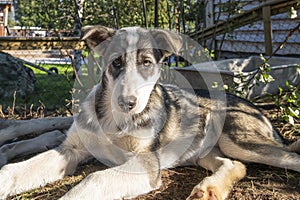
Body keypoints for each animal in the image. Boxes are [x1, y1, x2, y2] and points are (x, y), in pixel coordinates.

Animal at [0, 25, 300, 199]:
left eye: (146, 63)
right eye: (116, 62)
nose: (128, 103)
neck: (113, 121)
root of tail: (261, 111)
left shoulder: (146, 163)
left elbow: (92, 179)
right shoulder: (70, 150)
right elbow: (13, 170)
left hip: (238, 139)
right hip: (204, 151)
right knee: (235, 164)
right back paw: (209, 189)